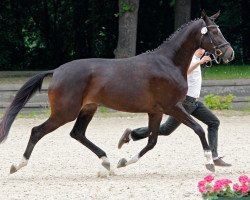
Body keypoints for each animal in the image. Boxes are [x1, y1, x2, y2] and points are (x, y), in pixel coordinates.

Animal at [0, 10, 234, 173]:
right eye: (213, 31)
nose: (230, 53)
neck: (168, 63)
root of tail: (56, 70)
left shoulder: (156, 111)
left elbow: (152, 141)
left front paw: (123, 161)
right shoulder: (172, 107)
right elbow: (198, 129)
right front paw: (209, 163)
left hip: (88, 108)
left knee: (77, 133)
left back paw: (107, 162)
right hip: (64, 112)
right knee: (37, 131)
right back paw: (17, 165)